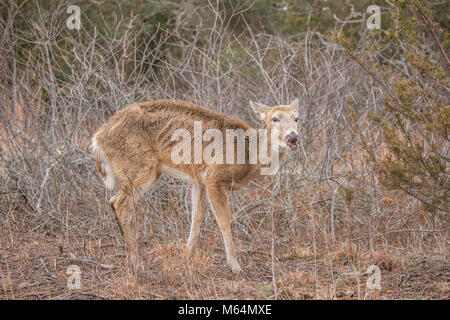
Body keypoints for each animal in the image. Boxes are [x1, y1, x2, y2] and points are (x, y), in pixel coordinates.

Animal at [91, 99, 298, 274]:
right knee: (119, 203)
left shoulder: (199, 181)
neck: (250, 155)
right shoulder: (214, 177)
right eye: (274, 118)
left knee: (118, 203)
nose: (293, 137)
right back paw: (136, 265)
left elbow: (196, 217)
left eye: (297, 118)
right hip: (140, 166)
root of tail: (97, 139)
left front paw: (187, 254)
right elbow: (224, 220)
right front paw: (235, 266)